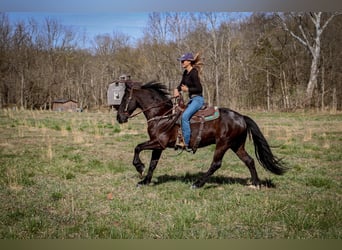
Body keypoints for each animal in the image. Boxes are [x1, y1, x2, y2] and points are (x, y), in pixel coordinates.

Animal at [116, 81, 288, 188]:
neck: (162, 115)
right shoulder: (158, 146)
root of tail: (241, 117)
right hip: (236, 145)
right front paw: (145, 181)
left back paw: (198, 184)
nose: (119, 118)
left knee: (216, 164)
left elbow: (138, 147)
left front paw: (139, 167)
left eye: (124, 98)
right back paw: (256, 183)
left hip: (223, 144)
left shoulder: (159, 143)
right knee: (250, 161)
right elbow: (153, 164)